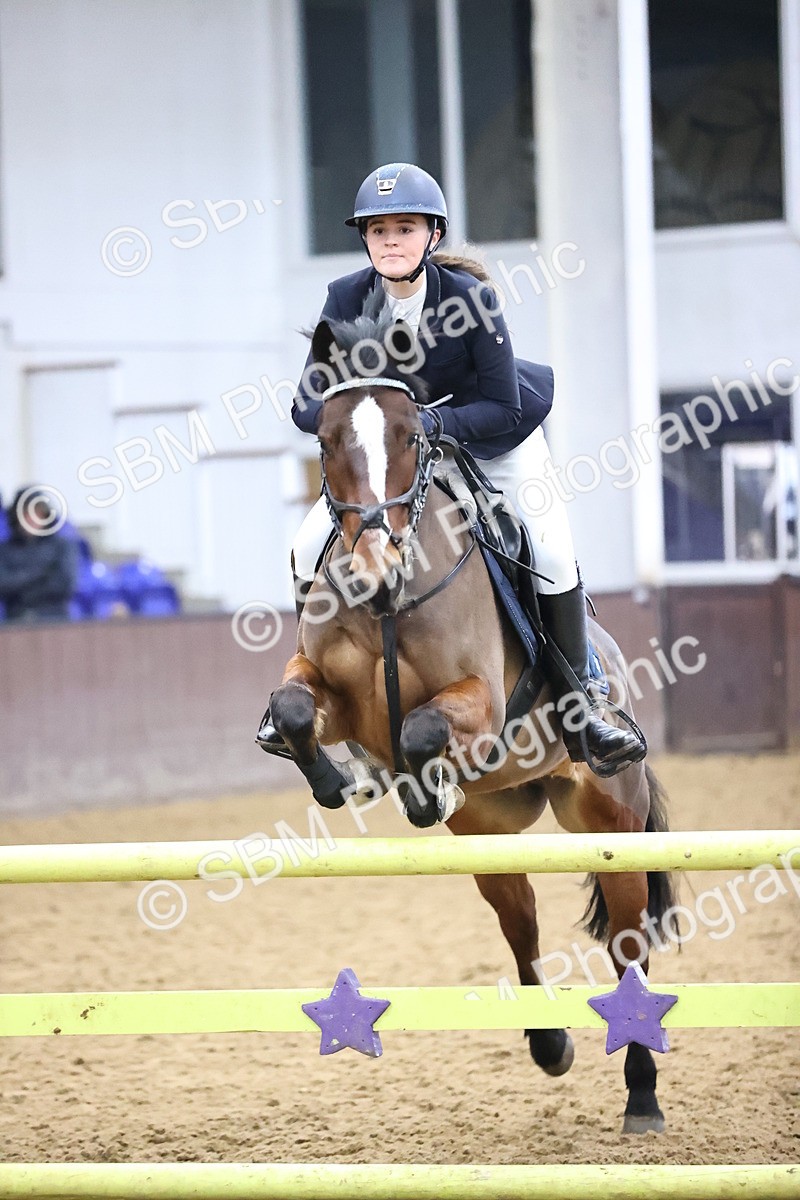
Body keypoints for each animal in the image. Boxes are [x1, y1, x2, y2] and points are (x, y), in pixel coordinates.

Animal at [265, 305, 676, 1134]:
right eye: (325, 439)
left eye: (409, 437)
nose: (374, 570)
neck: (389, 601)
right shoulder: (329, 695)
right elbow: (293, 709)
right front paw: (343, 783)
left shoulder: (481, 705)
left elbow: (422, 729)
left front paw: (419, 788)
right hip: (490, 833)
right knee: (519, 924)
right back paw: (549, 1044)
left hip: (610, 818)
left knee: (627, 948)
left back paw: (642, 1094)